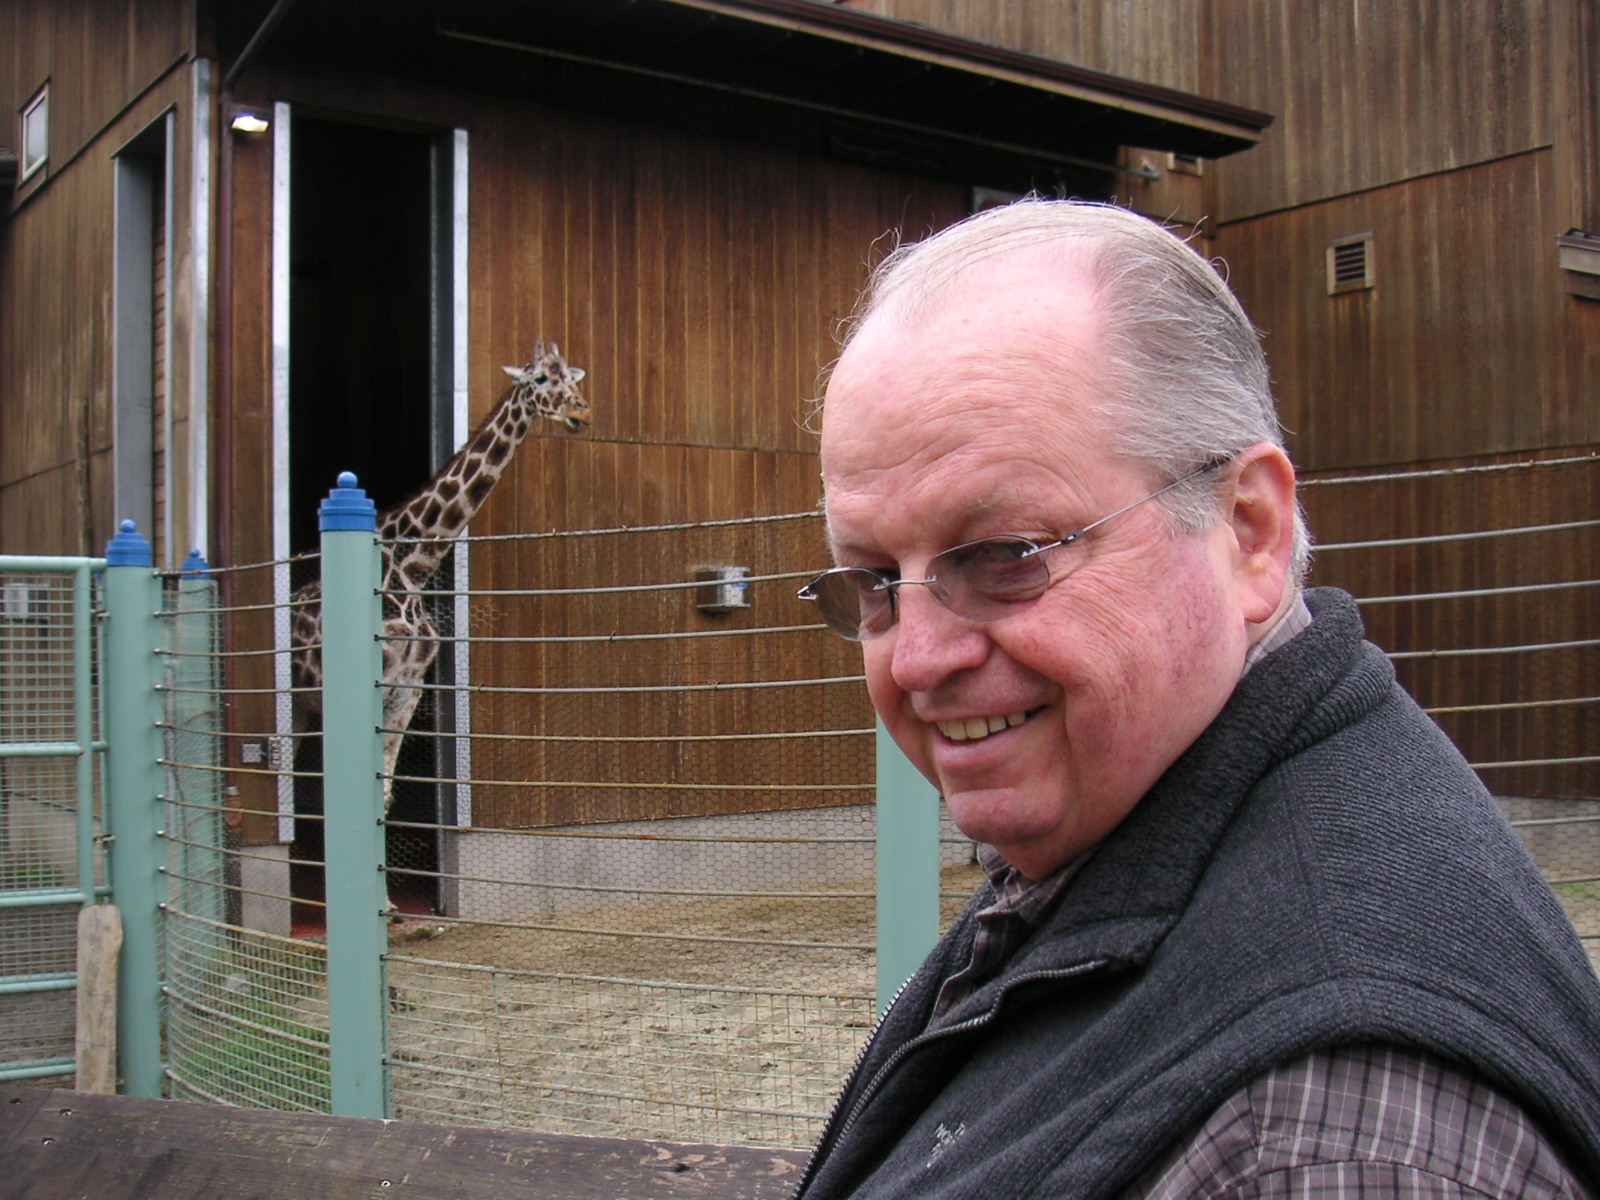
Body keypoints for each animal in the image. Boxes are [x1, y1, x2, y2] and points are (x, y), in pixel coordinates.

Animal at [288, 340, 588, 819]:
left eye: (572, 377)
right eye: (540, 378)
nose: (581, 411)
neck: (412, 565)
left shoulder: (409, 689)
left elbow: (384, 793)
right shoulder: (375, 679)